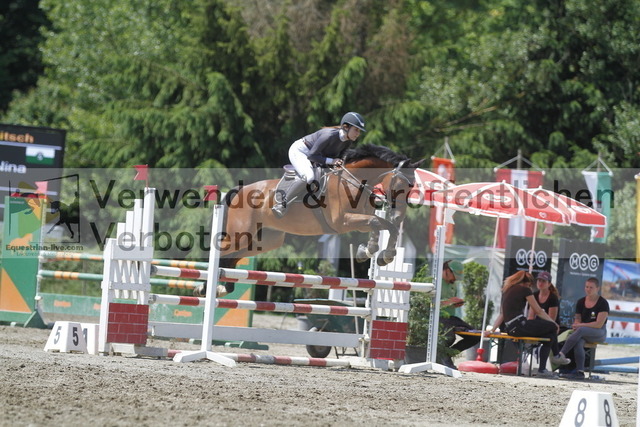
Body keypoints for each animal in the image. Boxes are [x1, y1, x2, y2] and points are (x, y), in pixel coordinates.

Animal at [196, 144, 423, 296]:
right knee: (220, 253)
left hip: (263, 240)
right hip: (239, 235)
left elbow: (387, 226)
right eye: (400, 184)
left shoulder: (359, 220)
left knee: (230, 258)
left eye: (412, 186)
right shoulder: (343, 221)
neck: (354, 181)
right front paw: (369, 250)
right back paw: (204, 287)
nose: (399, 215)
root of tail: (240, 190)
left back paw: (221, 288)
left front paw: (382, 255)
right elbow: (377, 223)